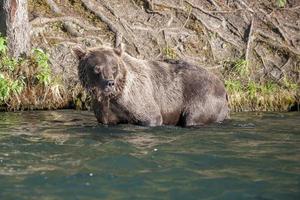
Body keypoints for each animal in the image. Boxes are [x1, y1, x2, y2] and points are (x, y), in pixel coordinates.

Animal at [73, 45, 230, 126]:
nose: (110, 83)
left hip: (203, 97)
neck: (113, 97)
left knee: (192, 118)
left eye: (113, 67)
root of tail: (223, 87)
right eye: (97, 68)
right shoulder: (105, 108)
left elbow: (151, 116)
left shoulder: (136, 97)